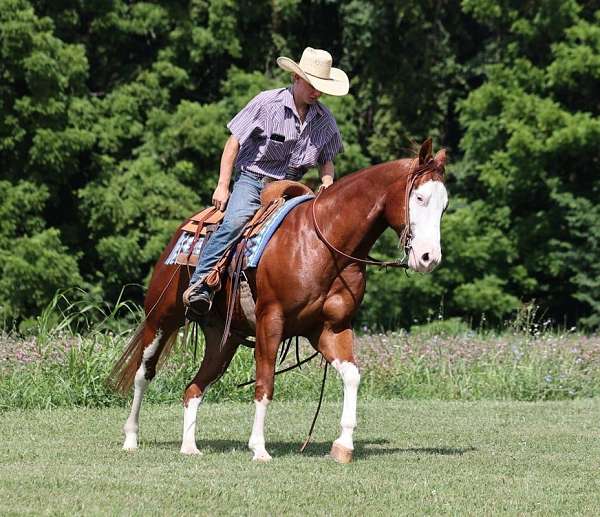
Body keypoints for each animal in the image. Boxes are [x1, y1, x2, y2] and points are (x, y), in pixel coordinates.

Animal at [108, 139, 448, 462]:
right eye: (419, 198)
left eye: (444, 206)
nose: (429, 258)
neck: (324, 244)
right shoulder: (270, 321)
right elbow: (265, 382)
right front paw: (259, 448)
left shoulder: (329, 328)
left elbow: (352, 376)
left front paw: (343, 446)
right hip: (161, 319)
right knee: (143, 374)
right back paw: (130, 439)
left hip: (223, 340)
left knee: (193, 388)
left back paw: (189, 447)